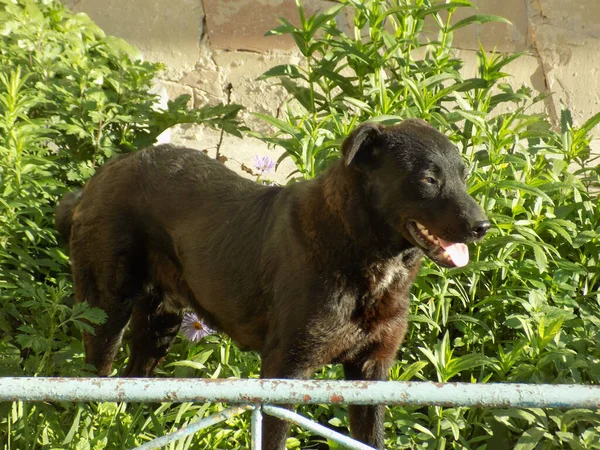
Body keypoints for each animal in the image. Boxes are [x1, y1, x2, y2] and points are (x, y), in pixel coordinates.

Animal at [55, 118, 488, 446]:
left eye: (465, 176)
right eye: (428, 179)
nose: (483, 226)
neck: (360, 250)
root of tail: (102, 174)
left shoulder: (372, 370)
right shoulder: (284, 371)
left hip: (159, 325)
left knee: (132, 385)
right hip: (105, 310)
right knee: (92, 382)